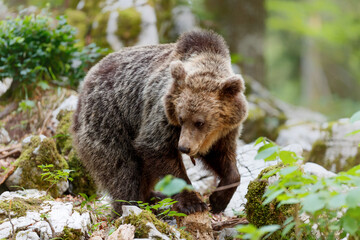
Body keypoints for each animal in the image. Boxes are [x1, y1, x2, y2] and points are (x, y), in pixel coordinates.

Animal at [73, 29, 248, 215]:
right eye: (181, 118)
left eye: (200, 122)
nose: (184, 147)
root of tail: (87, 80)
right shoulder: (162, 113)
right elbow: (157, 149)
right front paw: (192, 203)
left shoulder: (225, 130)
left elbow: (223, 158)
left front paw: (218, 199)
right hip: (109, 120)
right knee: (123, 169)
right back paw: (131, 205)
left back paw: (153, 197)